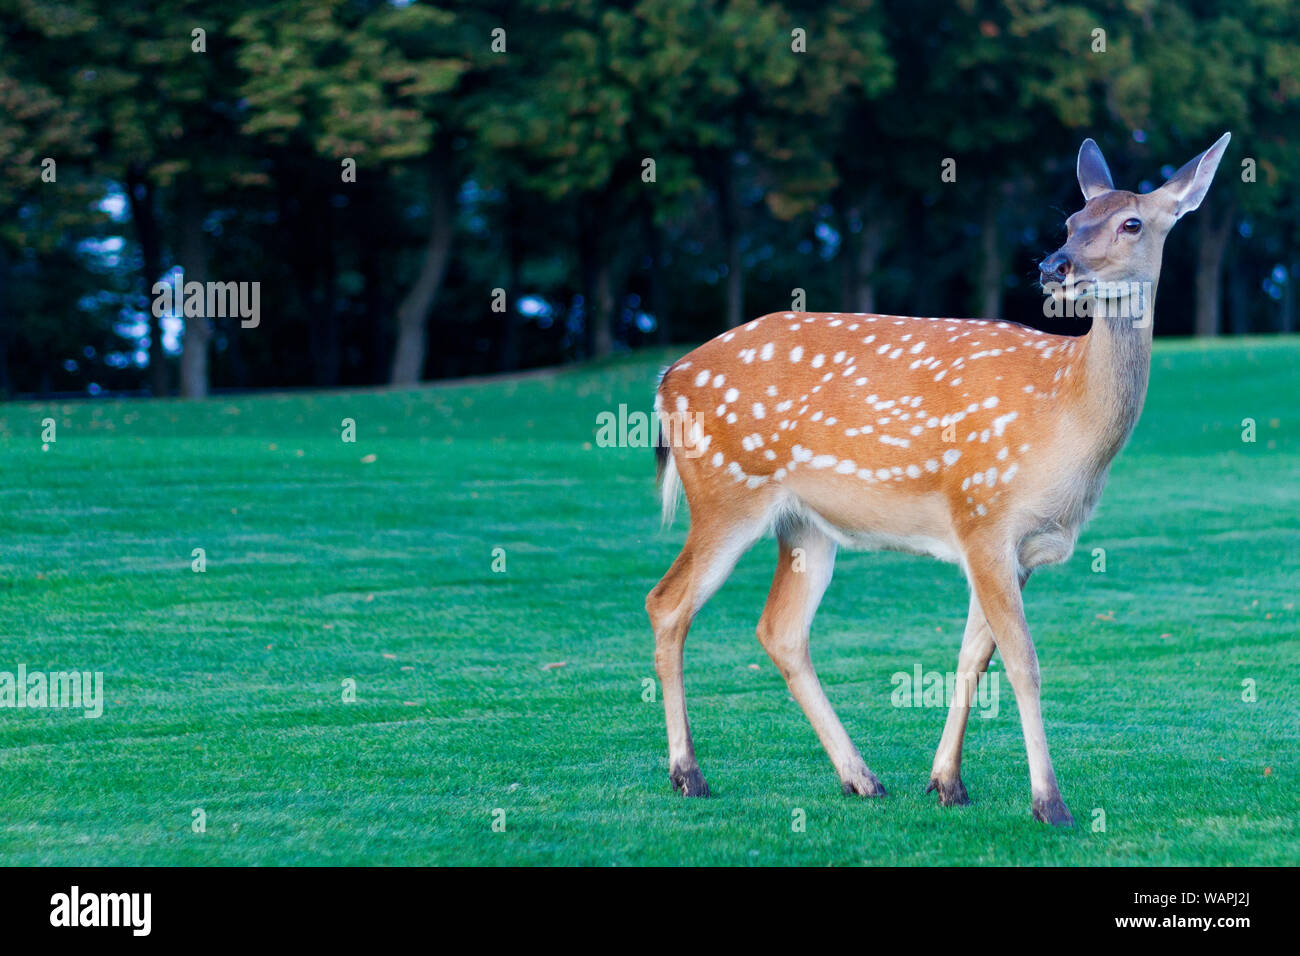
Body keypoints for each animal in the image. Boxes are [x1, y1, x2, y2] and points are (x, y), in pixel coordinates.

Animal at [647, 132, 1227, 822]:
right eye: (1070, 221)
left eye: (1131, 222)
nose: (1052, 266)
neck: (1065, 417)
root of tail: (667, 379)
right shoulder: (982, 513)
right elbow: (1023, 662)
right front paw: (1049, 803)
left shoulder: (1015, 546)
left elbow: (974, 655)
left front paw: (947, 782)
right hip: (725, 490)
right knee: (667, 602)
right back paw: (689, 774)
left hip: (805, 525)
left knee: (779, 630)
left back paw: (860, 777)